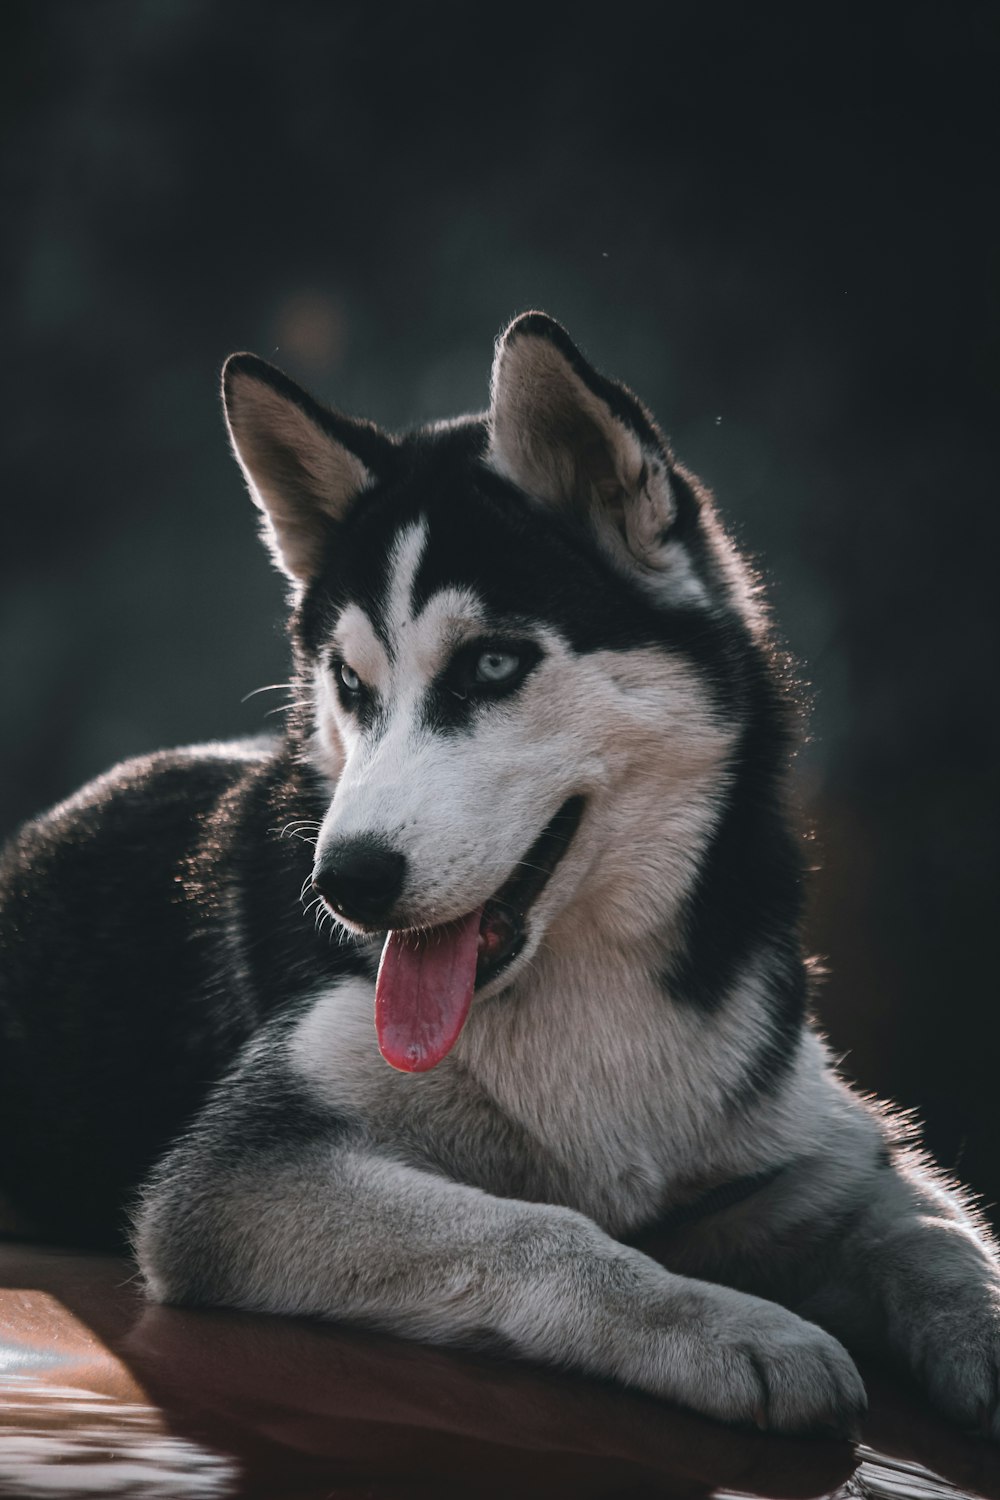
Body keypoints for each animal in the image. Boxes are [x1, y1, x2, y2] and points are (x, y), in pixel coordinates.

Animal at [1, 307, 1000, 1440]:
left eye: (490, 664)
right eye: (350, 684)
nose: (345, 883)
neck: (583, 992)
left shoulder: (818, 1158)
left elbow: (941, 1237)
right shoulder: (239, 1178)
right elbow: (537, 1225)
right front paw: (733, 1329)